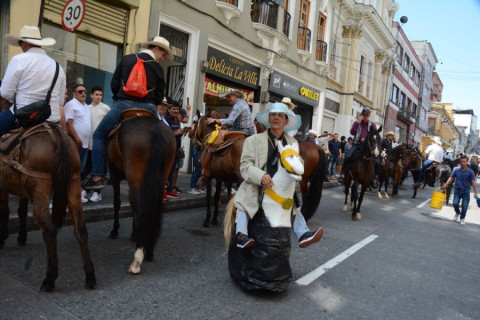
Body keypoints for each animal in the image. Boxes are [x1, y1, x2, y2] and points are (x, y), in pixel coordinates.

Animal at [0, 94, 96, 290]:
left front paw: (4, 236)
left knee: (49, 229)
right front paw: (21, 236)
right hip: (73, 185)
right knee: (81, 229)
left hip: (40, 187)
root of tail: (57, 136)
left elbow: (5, 211)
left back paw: (50, 278)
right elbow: (21, 211)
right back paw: (90, 275)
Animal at [104, 115, 175, 276]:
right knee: (152, 209)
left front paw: (115, 231)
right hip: (160, 180)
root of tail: (155, 130)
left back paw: (137, 260)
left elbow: (117, 202)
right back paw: (149, 251)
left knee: (140, 210)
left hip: (134, 180)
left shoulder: (114, 174)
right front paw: (134, 233)